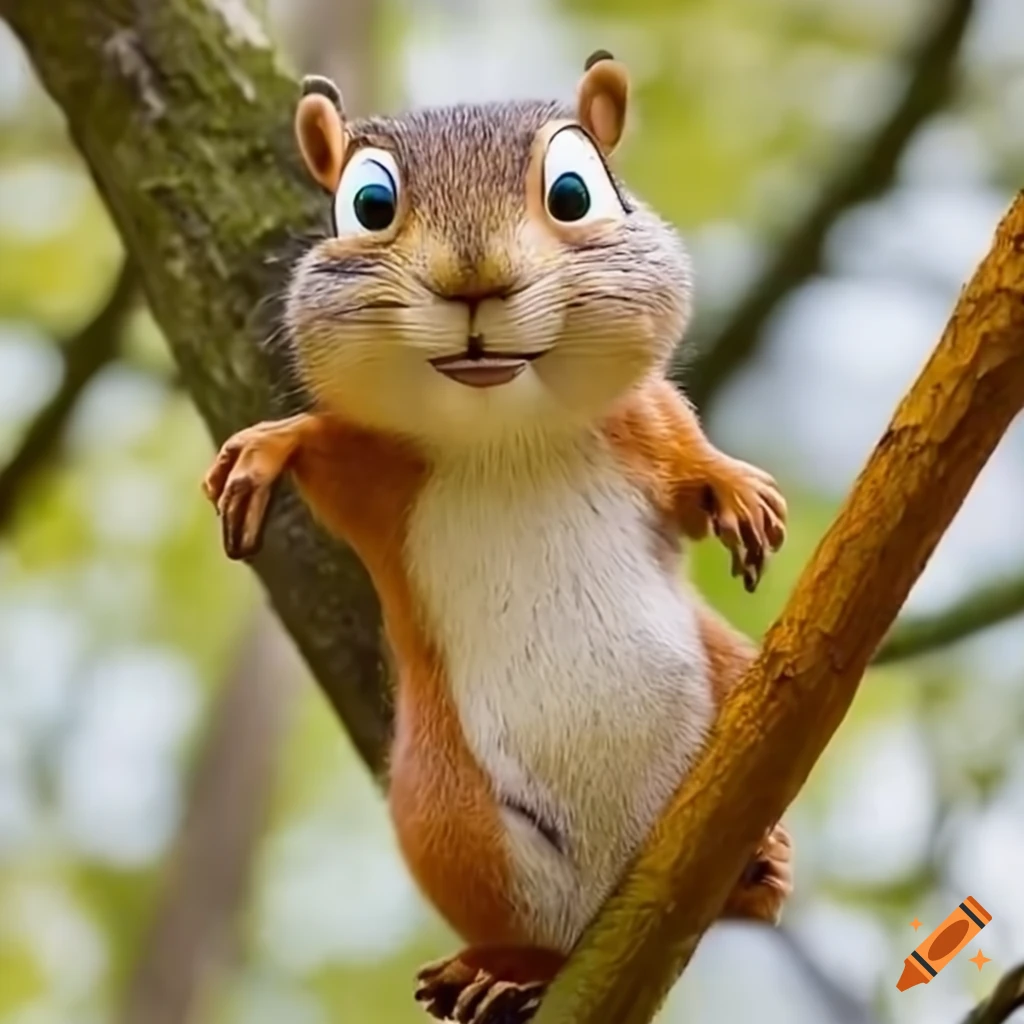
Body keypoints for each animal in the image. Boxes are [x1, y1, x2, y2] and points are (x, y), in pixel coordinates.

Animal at [203, 52, 792, 1024]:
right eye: (368, 203)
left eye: (575, 190)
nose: (473, 279)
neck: (502, 429)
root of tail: (623, 888)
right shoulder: (378, 471)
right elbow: (321, 443)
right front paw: (264, 449)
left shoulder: (640, 423)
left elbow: (683, 454)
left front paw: (735, 487)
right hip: (449, 817)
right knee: (534, 934)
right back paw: (502, 972)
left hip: (733, 672)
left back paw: (763, 865)